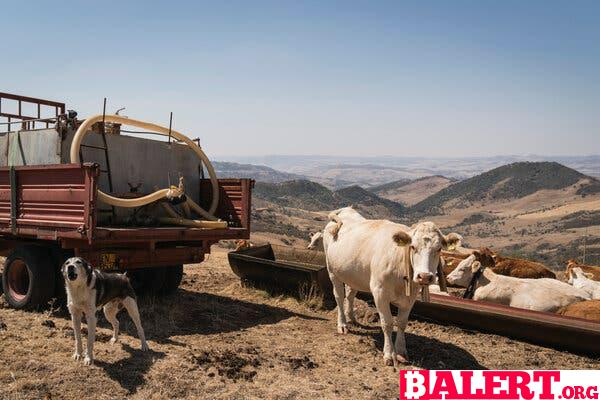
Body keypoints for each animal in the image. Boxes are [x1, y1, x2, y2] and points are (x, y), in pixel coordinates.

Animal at [324, 209, 460, 366]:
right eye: (413, 247)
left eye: (439, 249)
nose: (425, 276)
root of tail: (346, 209)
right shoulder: (380, 293)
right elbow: (387, 323)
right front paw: (389, 354)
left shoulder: (410, 297)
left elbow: (401, 323)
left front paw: (401, 351)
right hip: (332, 271)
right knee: (339, 297)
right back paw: (343, 324)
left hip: (353, 275)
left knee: (350, 295)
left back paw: (351, 318)